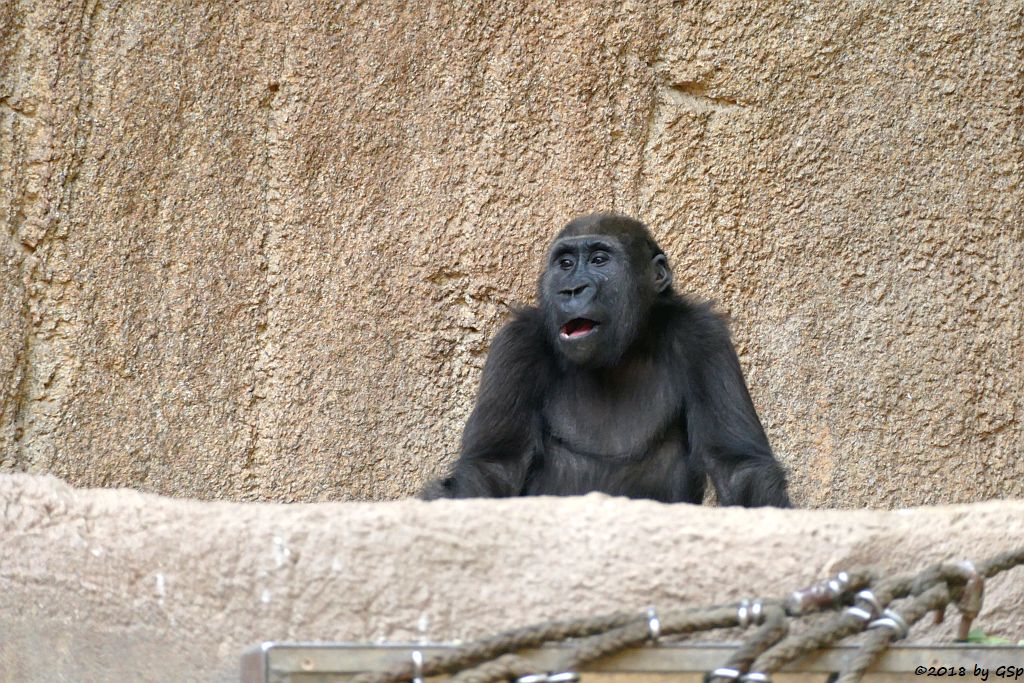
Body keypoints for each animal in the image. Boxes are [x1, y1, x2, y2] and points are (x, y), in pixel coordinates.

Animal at [423, 214, 790, 507]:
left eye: (599, 259)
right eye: (565, 264)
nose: (572, 289)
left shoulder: (702, 336)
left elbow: (739, 468)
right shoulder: (517, 344)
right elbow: (494, 467)